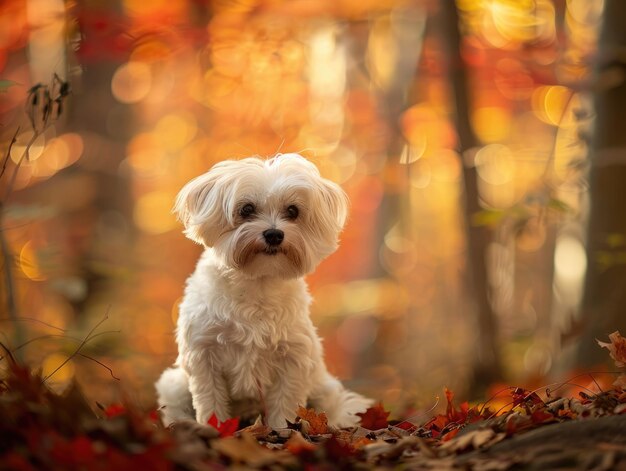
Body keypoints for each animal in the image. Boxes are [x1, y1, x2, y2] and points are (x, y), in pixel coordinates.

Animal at [155, 153, 370, 430]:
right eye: (246, 209)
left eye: (293, 211)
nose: (274, 234)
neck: (257, 283)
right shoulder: (204, 354)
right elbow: (210, 400)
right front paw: (216, 429)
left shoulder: (293, 357)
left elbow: (285, 405)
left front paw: (281, 431)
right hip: (174, 385)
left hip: (323, 387)